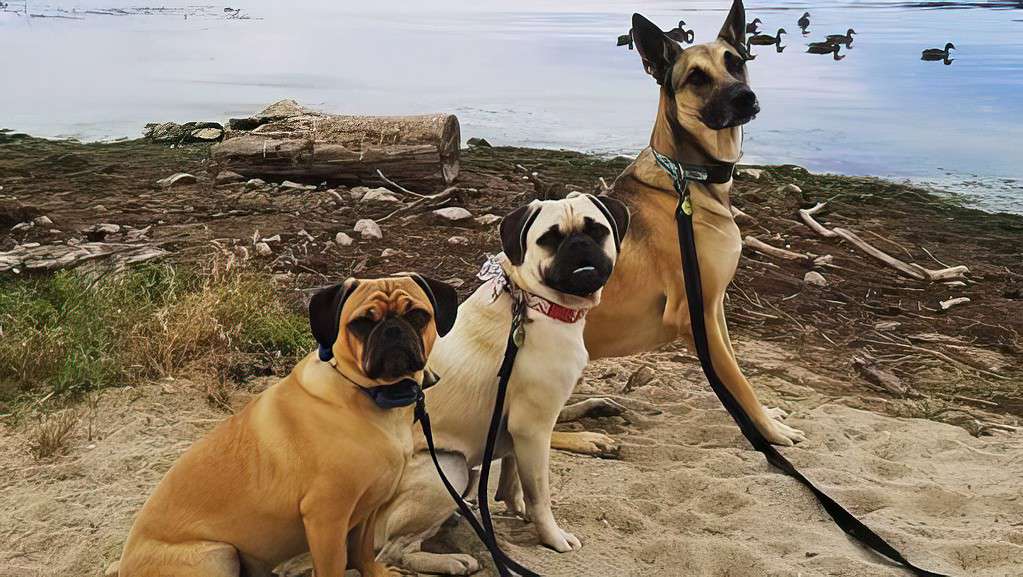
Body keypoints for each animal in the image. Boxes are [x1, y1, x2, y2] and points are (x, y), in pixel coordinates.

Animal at [113, 274, 460, 577]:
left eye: (417, 315)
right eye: (361, 323)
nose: (393, 331)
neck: (369, 394)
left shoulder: (368, 507)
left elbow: (362, 553)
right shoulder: (326, 517)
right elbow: (334, 566)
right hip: (219, 553)